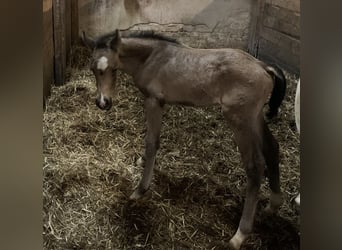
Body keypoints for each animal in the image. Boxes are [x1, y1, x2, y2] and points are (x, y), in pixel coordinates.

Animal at [82, 29, 286, 248]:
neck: (151, 58)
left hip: (239, 119)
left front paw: (140, 189)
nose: (103, 102)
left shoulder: (154, 101)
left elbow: (152, 142)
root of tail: (264, 66)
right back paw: (273, 205)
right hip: (255, 118)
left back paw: (239, 235)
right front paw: (141, 162)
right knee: (272, 147)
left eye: (112, 68)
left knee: (255, 166)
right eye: (92, 69)